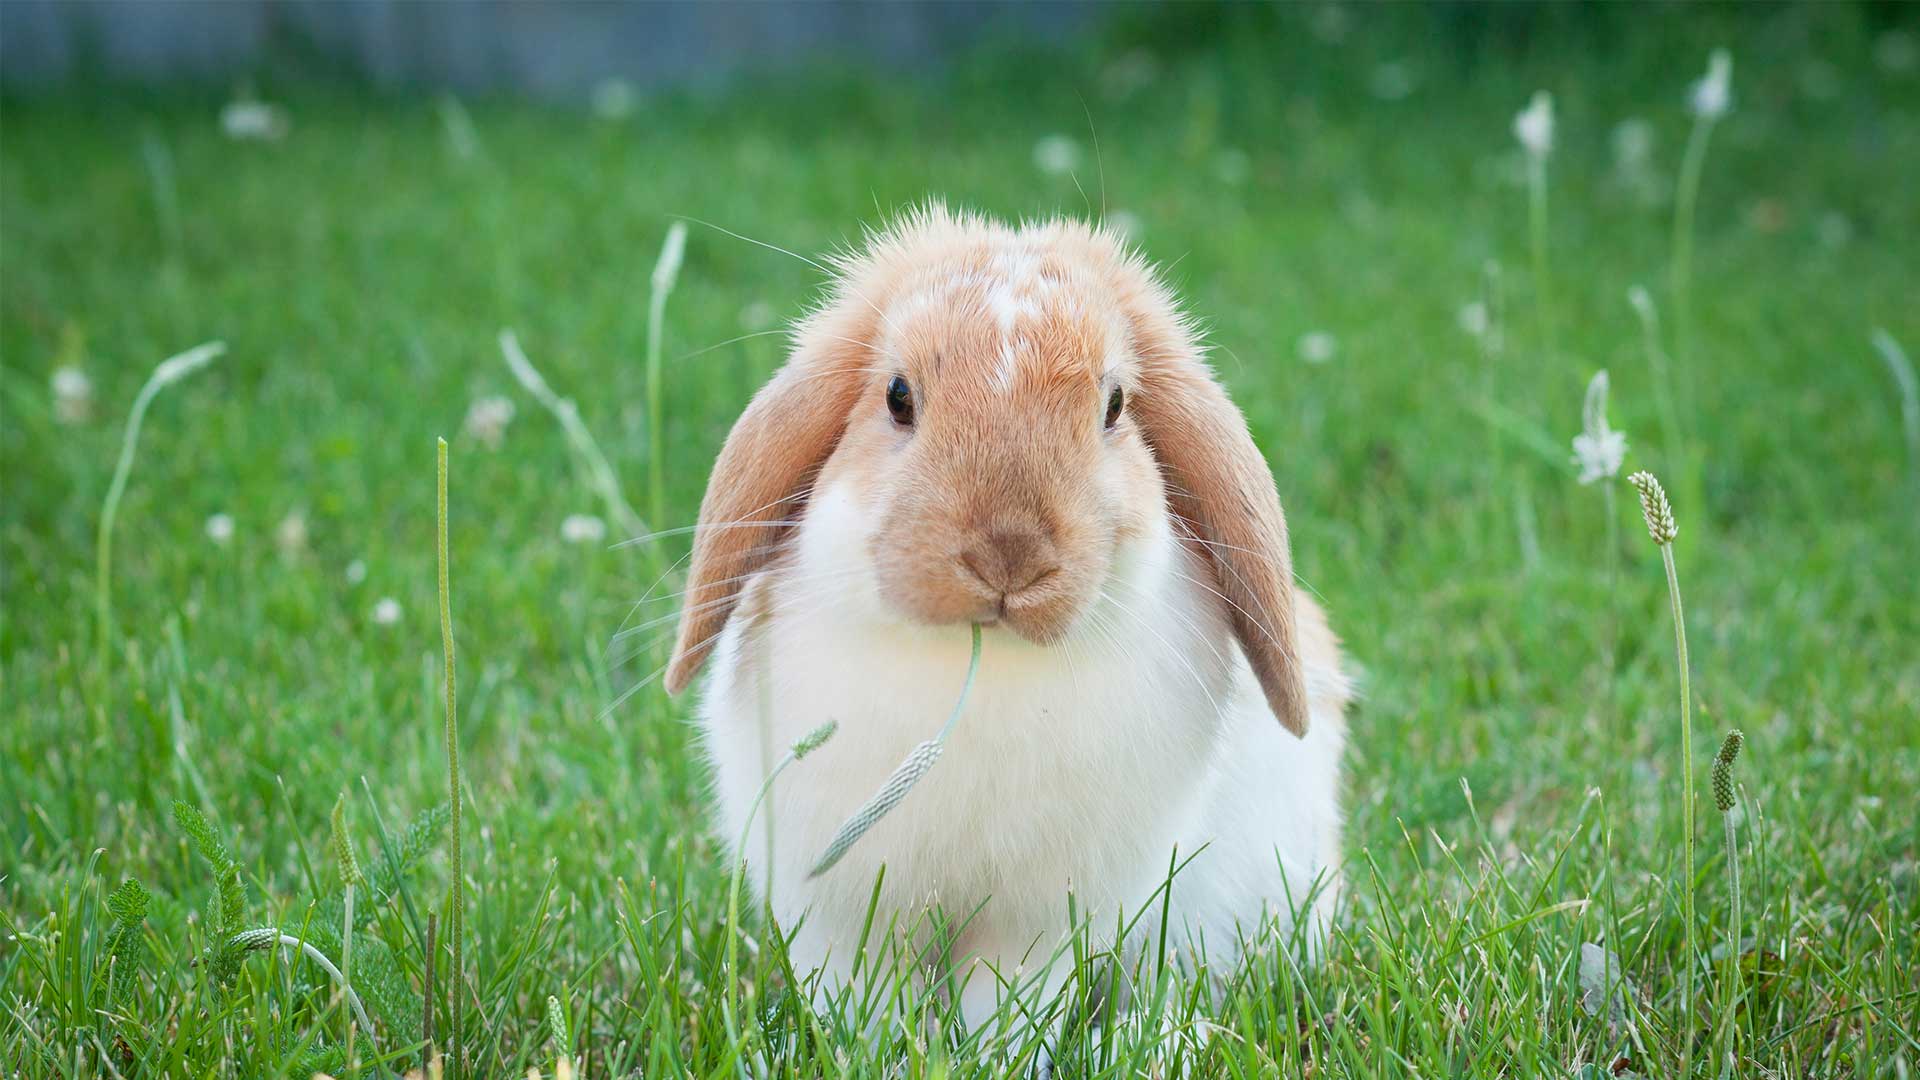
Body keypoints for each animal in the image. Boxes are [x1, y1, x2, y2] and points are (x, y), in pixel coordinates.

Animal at [664, 203, 1351, 1037]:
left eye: (1114, 407)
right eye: (898, 395)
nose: (1009, 552)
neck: (978, 663)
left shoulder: (1039, 925)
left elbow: (1008, 1003)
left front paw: (990, 1051)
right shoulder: (839, 914)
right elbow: (864, 998)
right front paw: (879, 1048)